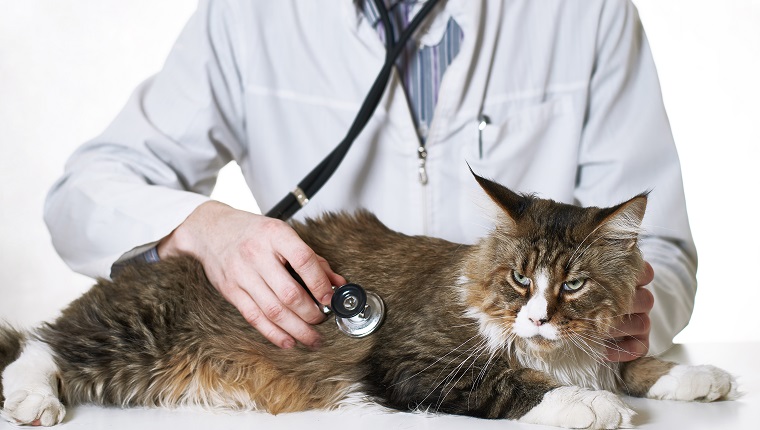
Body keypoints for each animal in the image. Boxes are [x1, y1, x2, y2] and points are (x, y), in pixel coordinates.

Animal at [0, 173, 736, 428]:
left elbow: (632, 361)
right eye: (520, 280)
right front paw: (587, 404)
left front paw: (694, 375)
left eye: (573, 284)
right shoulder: (410, 364)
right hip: (137, 330)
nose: (535, 316)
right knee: (40, 343)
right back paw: (34, 400)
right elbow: (513, 384)